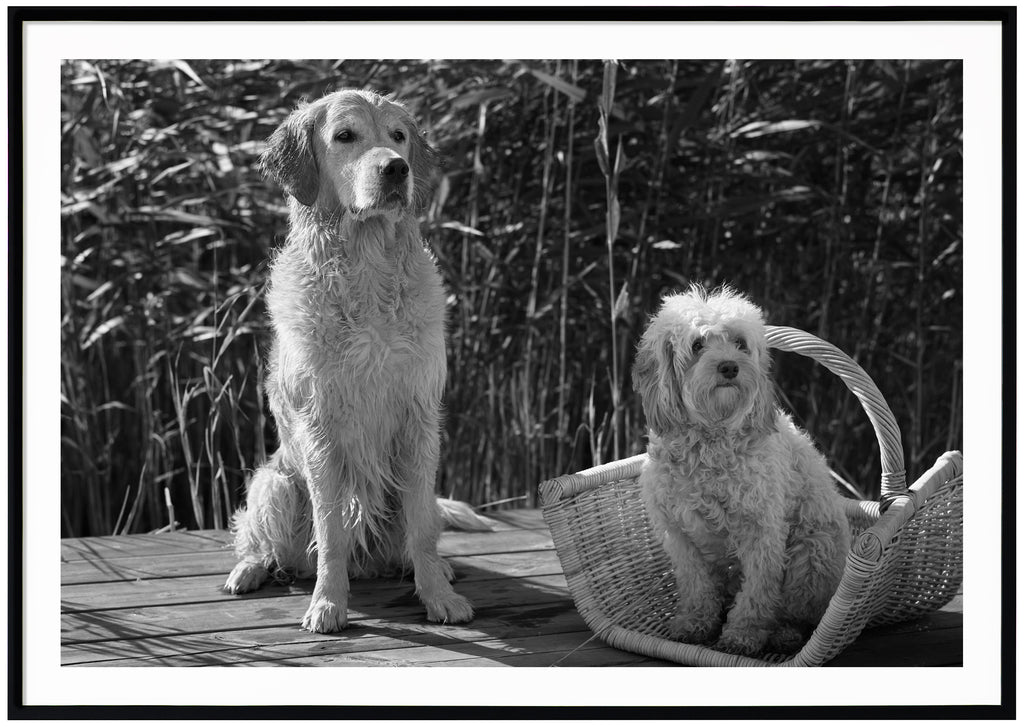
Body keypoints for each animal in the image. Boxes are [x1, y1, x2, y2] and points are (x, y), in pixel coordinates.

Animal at [225, 88, 495, 634]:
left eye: (399, 136)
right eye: (345, 135)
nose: (395, 169)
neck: (367, 267)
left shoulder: (420, 415)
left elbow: (421, 527)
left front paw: (438, 596)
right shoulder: (320, 425)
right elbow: (330, 531)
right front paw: (328, 604)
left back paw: (438, 569)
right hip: (274, 483)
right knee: (261, 541)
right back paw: (248, 570)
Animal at [630, 286, 847, 659]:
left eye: (740, 343)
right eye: (698, 344)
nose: (729, 366)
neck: (709, 439)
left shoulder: (762, 531)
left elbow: (757, 593)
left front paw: (743, 635)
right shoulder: (679, 535)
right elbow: (696, 585)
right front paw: (694, 622)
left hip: (811, 553)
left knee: (798, 613)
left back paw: (784, 634)